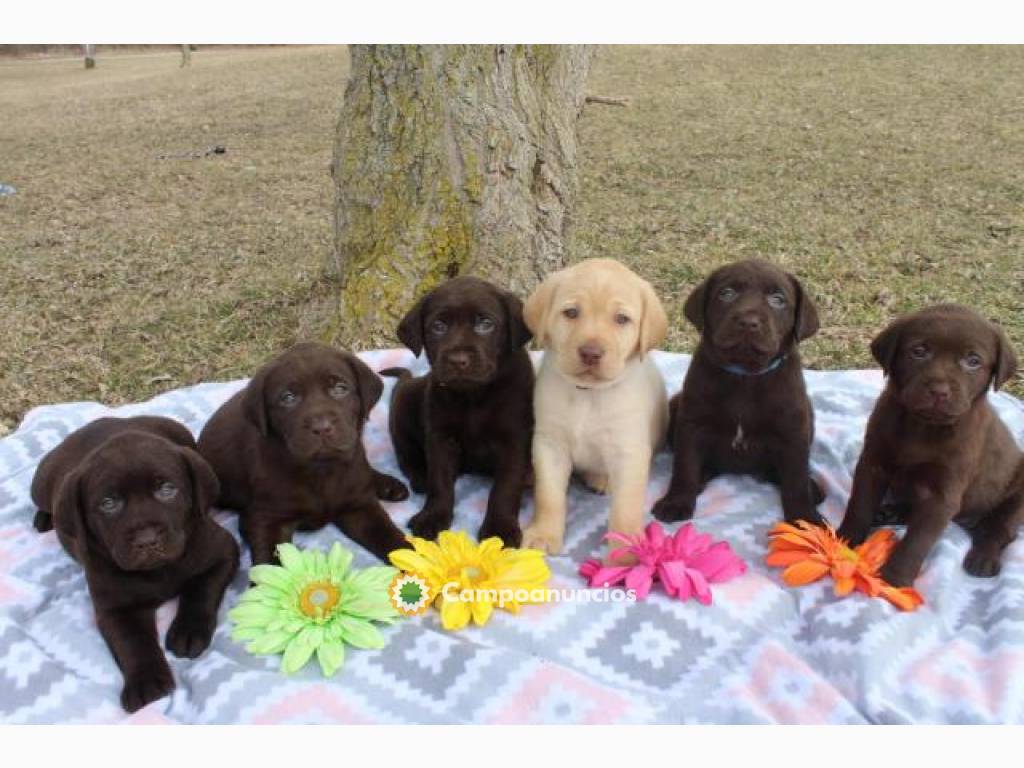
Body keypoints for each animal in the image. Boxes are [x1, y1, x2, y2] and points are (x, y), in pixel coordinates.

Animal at [520, 262, 671, 557]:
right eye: (571, 313)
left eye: (622, 319)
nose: (591, 353)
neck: (587, 394)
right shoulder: (549, 444)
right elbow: (548, 496)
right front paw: (543, 533)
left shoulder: (629, 452)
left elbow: (626, 508)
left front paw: (627, 551)